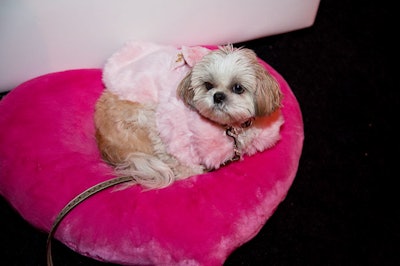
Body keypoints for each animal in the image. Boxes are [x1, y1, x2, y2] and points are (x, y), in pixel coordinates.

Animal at [93, 42, 282, 189]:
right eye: (208, 85)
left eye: (238, 88)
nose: (218, 96)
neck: (230, 128)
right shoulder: (173, 128)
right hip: (146, 115)